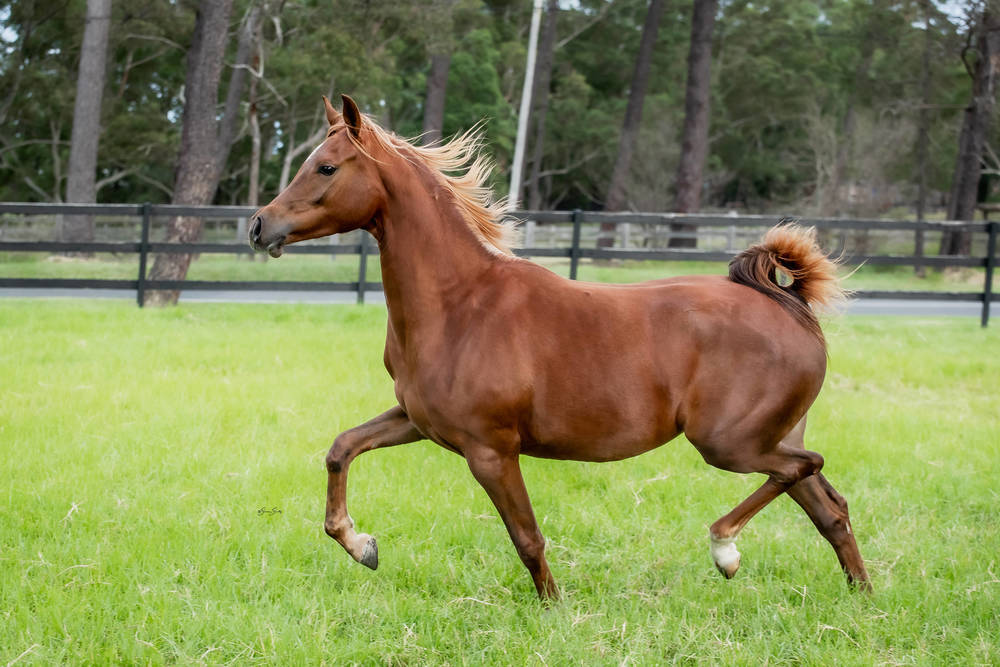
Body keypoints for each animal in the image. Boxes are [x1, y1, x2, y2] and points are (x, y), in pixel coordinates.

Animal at [249, 94, 870, 599]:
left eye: (327, 166)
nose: (259, 226)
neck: (459, 306)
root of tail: (791, 306)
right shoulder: (417, 420)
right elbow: (341, 448)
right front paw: (363, 546)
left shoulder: (490, 450)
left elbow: (527, 537)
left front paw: (553, 607)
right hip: (769, 434)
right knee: (830, 507)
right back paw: (861, 596)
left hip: (729, 443)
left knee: (804, 469)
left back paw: (725, 550)